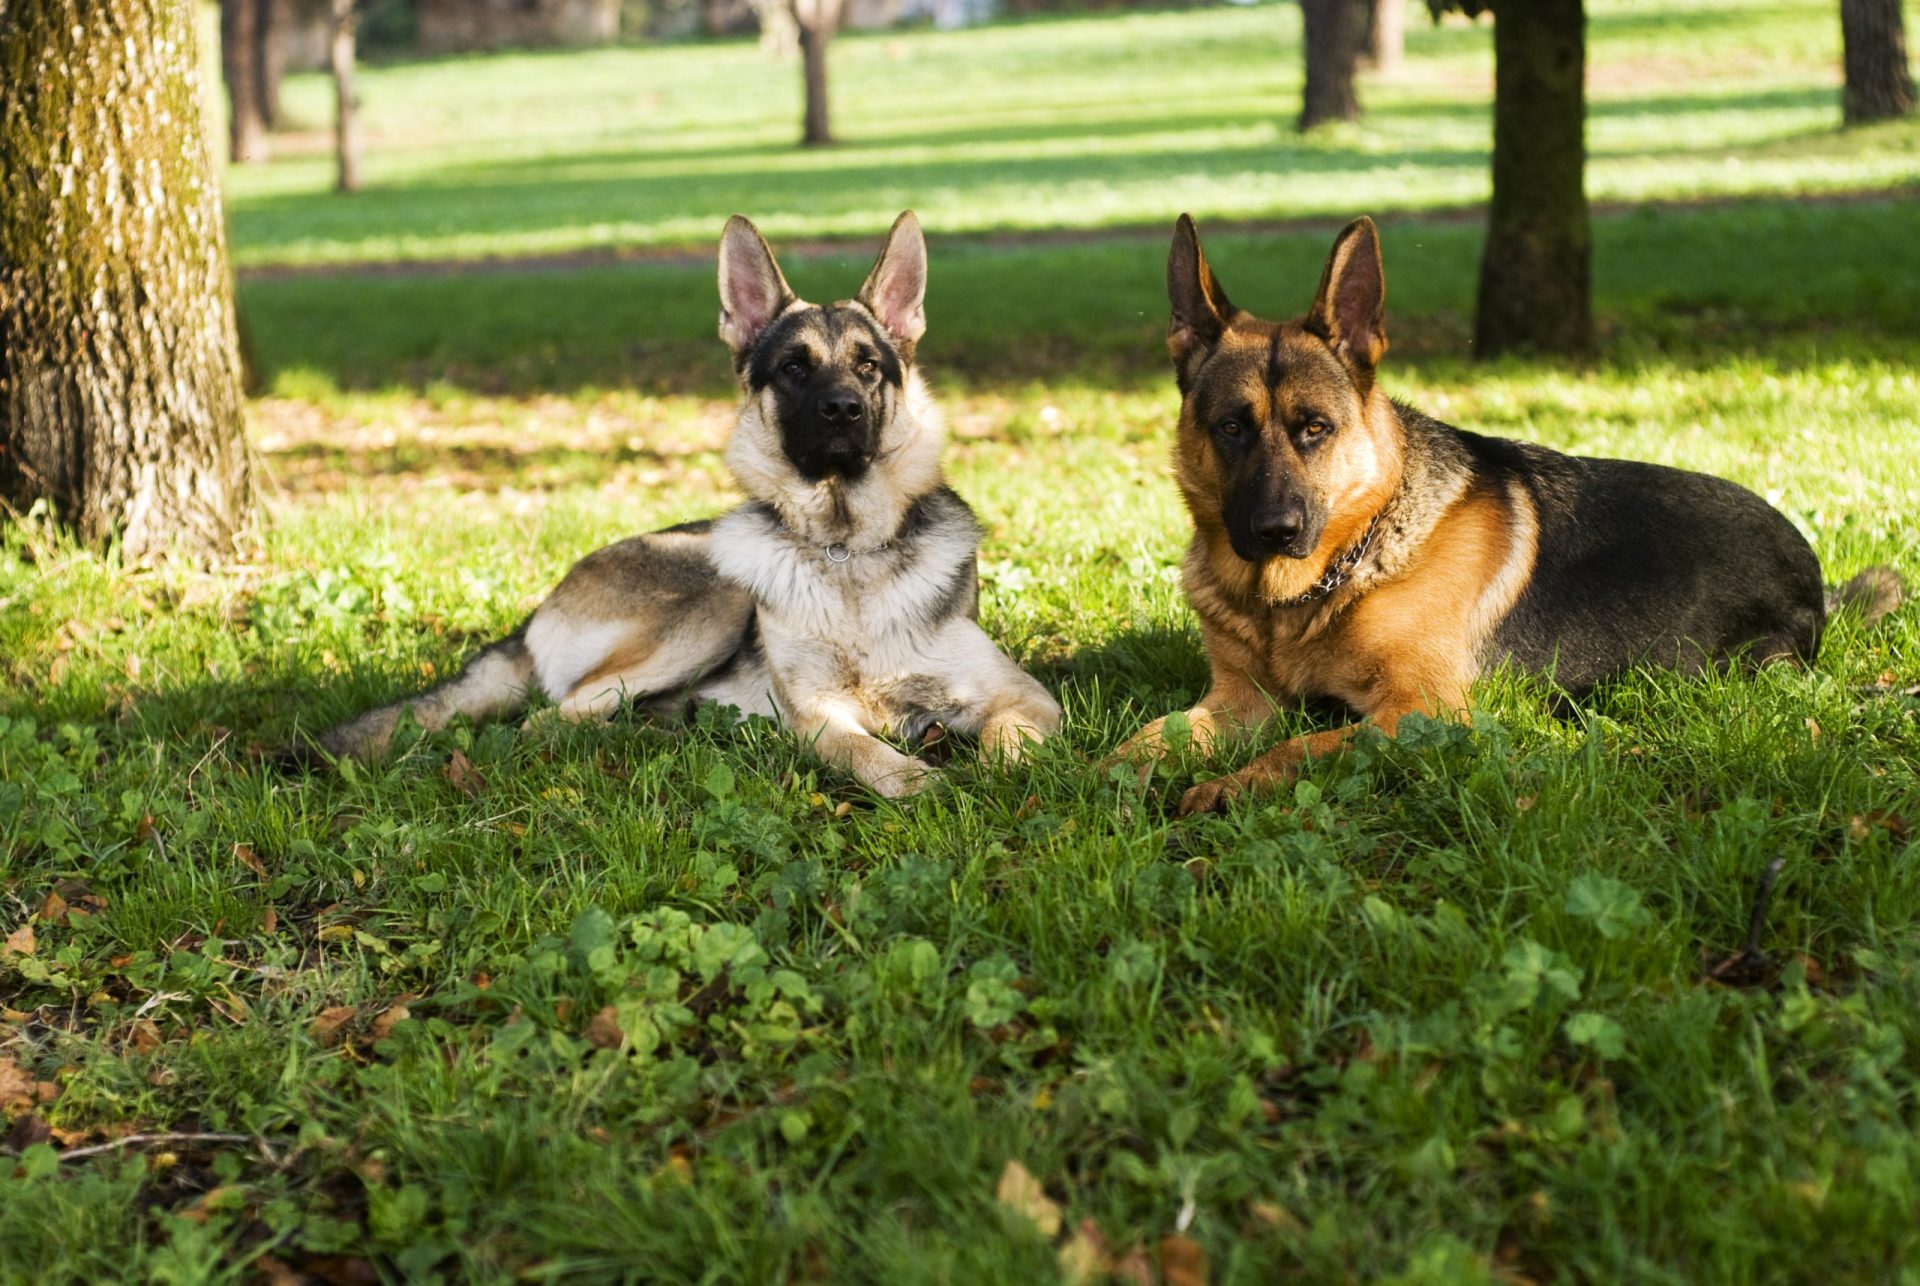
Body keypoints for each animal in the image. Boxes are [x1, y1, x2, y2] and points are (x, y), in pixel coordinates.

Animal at [316, 211, 1067, 794]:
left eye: (868, 365)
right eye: (795, 368)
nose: (843, 410)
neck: (846, 551)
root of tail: (532, 620)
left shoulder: (1026, 698)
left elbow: (1006, 742)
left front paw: (994, 777)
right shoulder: (818, 716)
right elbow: (867, 752)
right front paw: (921, 781)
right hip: (718, 595)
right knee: (548, 719)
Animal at [1121, 213, 1896, 817]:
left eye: (1315, 429)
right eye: (1231, 428)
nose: (1275, 532)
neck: (1308, 597)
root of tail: (1810, 565)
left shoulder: (1422, 713)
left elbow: (1302, 744)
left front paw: (1231, 785)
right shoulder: (1237, 702)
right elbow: (1153, 735)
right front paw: (1108, 773)